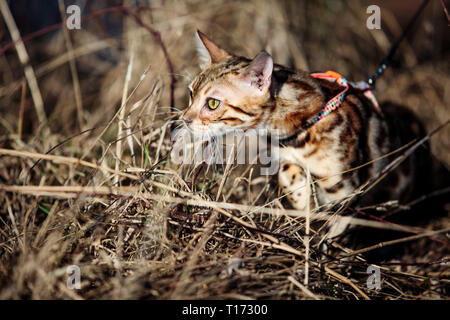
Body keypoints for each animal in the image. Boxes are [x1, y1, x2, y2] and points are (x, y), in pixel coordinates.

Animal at [180, 31, 428, 236]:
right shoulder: (284, 154)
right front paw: (304, 201)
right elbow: (289, 173)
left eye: (212, 103)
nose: (185, 118)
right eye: (191, 93)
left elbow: (335, 230)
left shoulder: (347, 191)